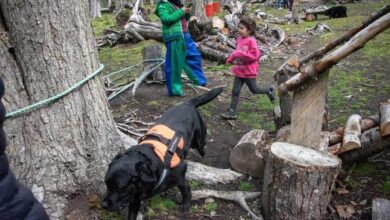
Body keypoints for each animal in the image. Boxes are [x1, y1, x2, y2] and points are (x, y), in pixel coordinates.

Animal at [100, 87, 222, 219]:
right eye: (106, 184)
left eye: (120, 188)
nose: (103, 205)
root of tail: (187, 103)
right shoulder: (134, 198)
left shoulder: (180, 175)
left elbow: (186, 191)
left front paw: (185, 204)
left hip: (198, 139)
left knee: (202, 145)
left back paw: (203, 152)